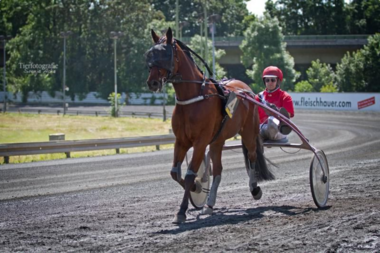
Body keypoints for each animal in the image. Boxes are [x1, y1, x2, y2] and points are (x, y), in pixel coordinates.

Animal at [145, 27, 274, 223]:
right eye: (150, 54)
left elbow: (189, 175)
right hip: (217, 141)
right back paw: (210, 205)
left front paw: (181, 211)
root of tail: (247, 90)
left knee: (252, 157)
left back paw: (255, 189)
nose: (152, 82)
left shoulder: (200, 141)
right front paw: (197, 188)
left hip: (248, 133)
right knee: (218, 171)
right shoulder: (181, 141)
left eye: (165, 54)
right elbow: (175, 173)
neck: (194, 98)